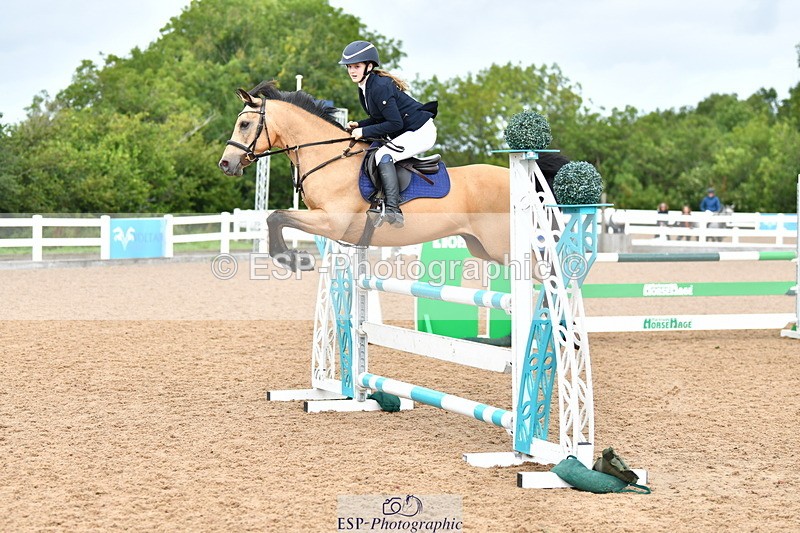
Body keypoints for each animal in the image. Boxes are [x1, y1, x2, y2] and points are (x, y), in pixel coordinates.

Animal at [218, 81, 565, 270]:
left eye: (245, 124)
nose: (226, 164)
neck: (329, 158)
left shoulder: (332, 221)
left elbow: (275, 216)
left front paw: (293, 259)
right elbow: (275, 218)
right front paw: (293, 258)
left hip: (503, 246)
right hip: (482, 246)